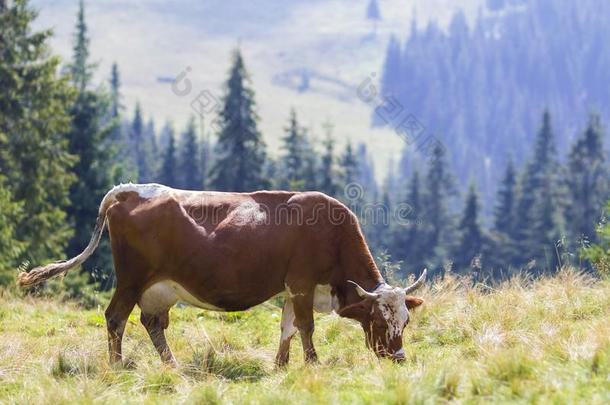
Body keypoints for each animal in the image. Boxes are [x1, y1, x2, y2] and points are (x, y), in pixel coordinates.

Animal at [20, 183, 428, 366]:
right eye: (380, 321)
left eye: (406, 322)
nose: (399, 357)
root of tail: (132, 190)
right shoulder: (301, 283)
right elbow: (306, 327)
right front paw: (312, 365)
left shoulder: (289, 288)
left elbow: (287, 327)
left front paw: (281, 366)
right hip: (132, 279)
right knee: (116, 317)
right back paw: (117, 365)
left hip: (159, 288)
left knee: (151, 323)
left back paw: (172, 366)